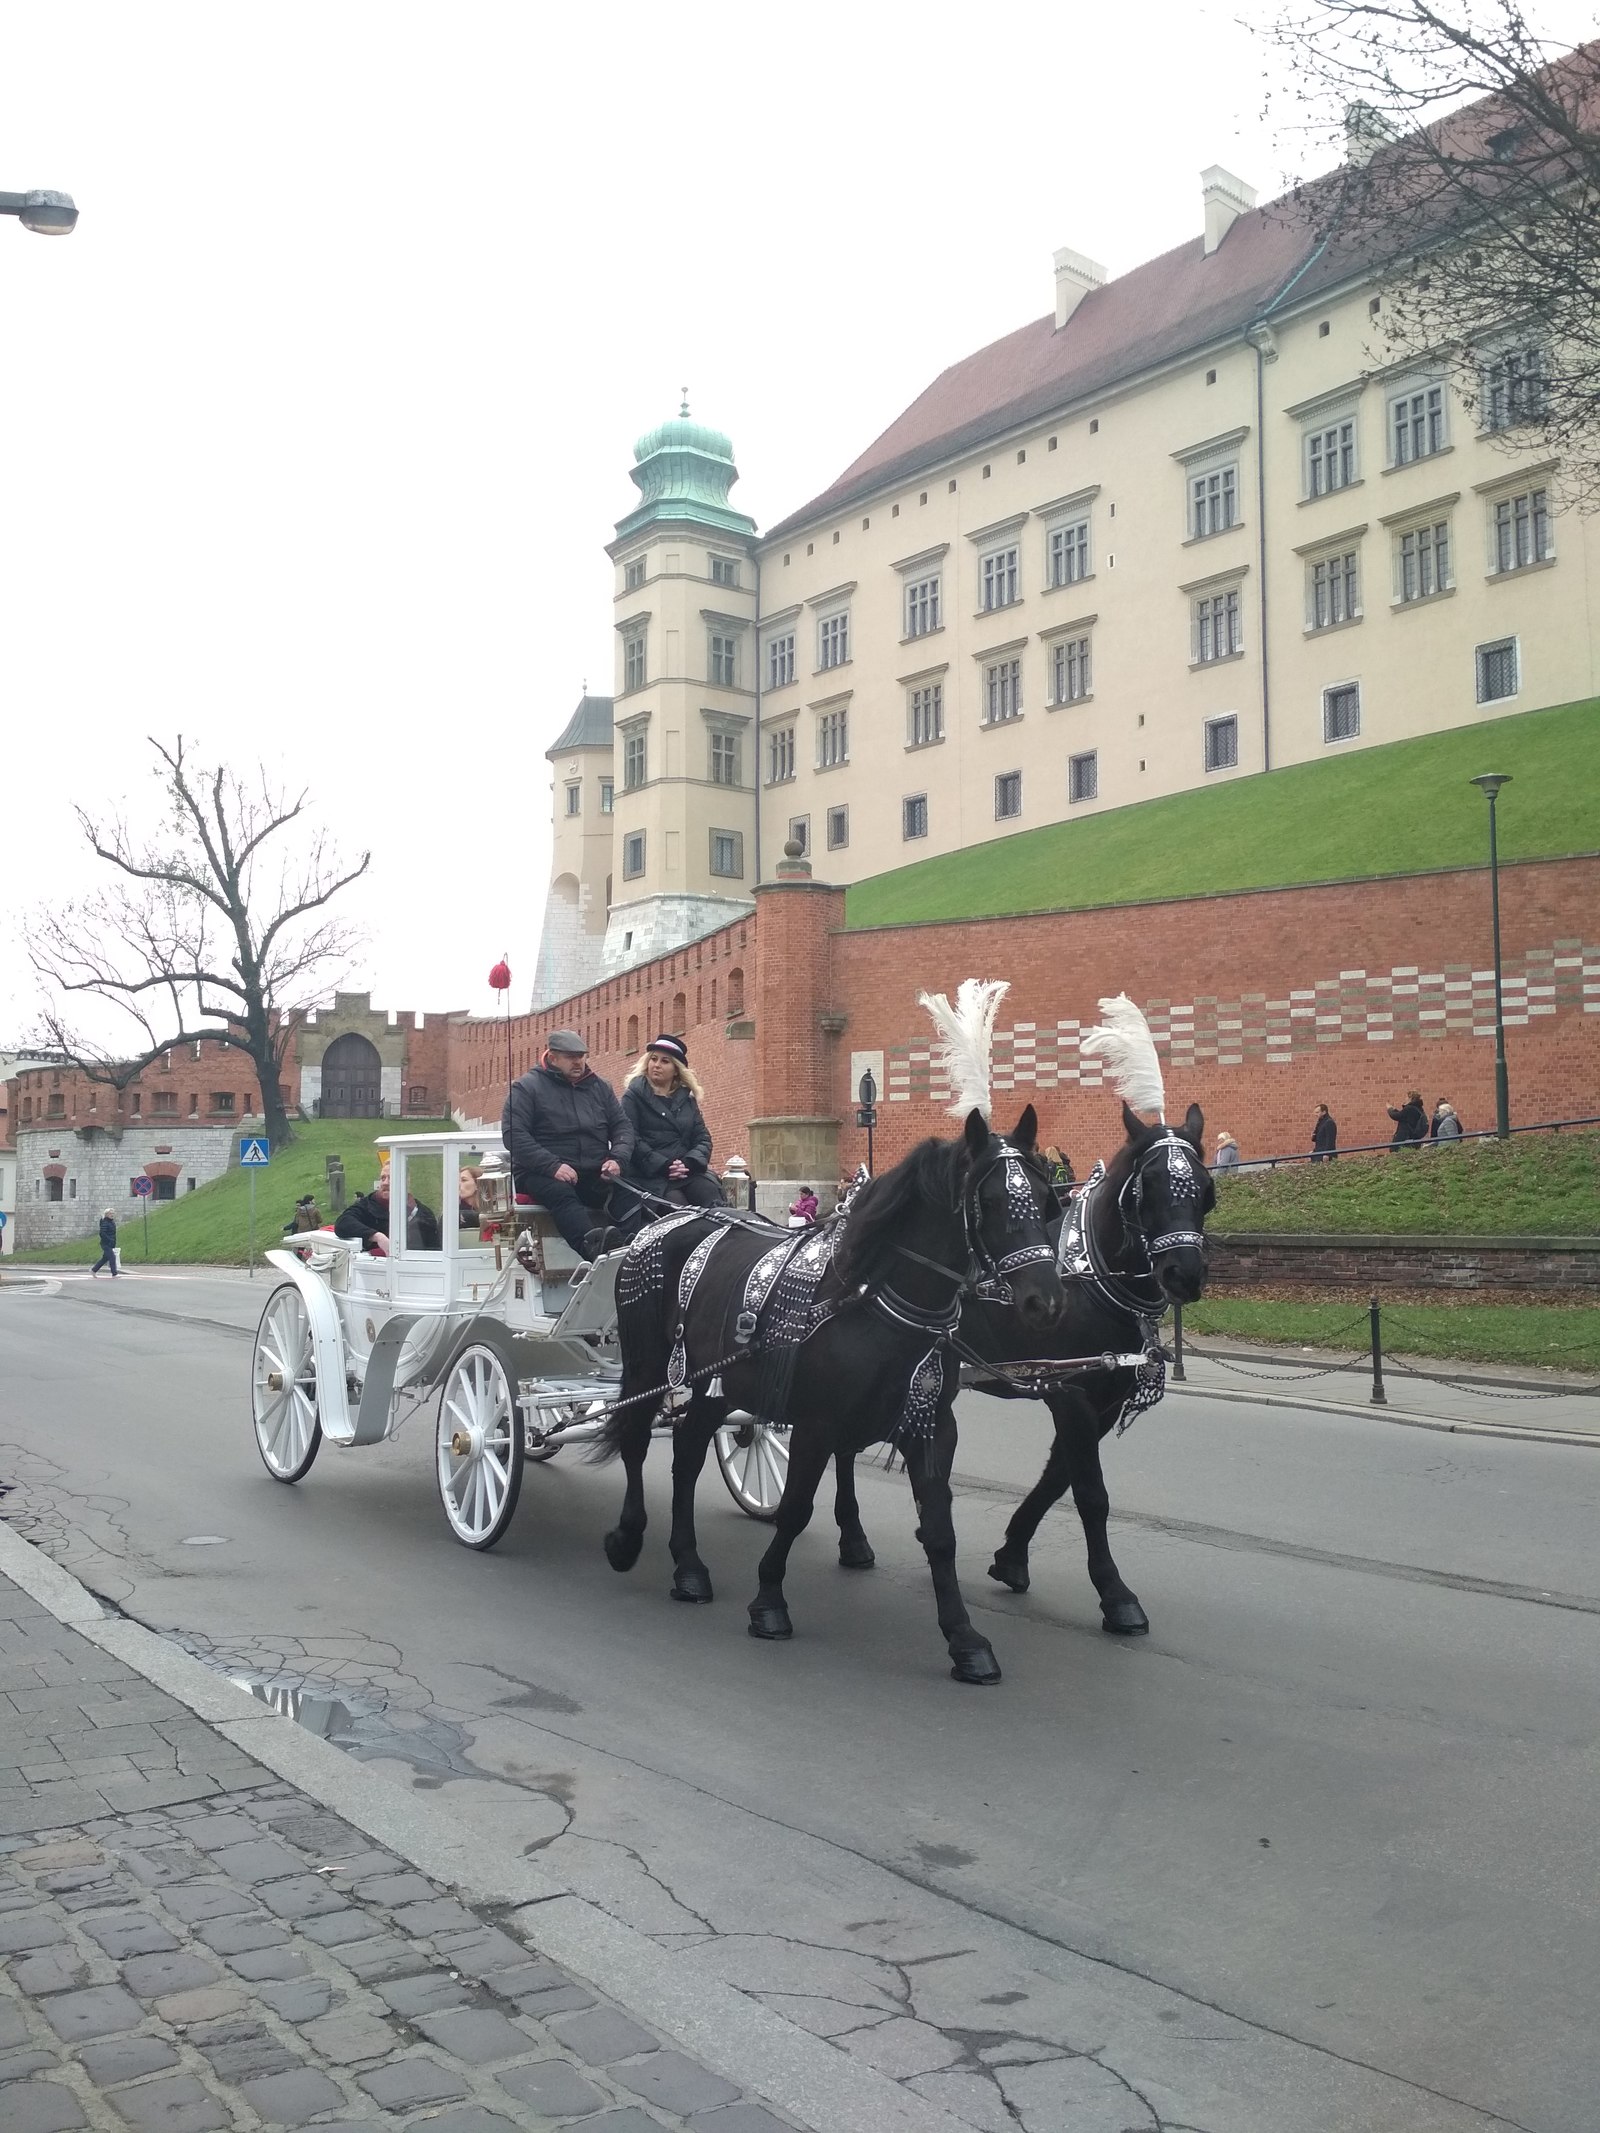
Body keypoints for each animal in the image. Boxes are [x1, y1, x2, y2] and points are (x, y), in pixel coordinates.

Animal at [597, 1109, 1058, 1672]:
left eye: (1046, 1196)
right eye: (987, 1202)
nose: (1046, 1301)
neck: (866, 1298)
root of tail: (662, 1221)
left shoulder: (931, 1426)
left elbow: (939, 1530)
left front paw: (964, 1638)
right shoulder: (818, 1423)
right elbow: (795, 1510)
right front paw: (769, 1601)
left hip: (714, 1384)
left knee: (686, 1453)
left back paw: (688, 1566)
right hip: (647, 1364)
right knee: (636, 1441)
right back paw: (628, 1539)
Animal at [827, 1109, 1211, 1638]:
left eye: (1206, 1187)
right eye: (1147, 1184)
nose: (1184, 1274)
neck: (1086, 1279)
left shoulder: (1101, 1399)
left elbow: (1057, 1478)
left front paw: (1011, 1556)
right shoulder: (1071, 1394)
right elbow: (1090, 1494)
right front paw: (1114, 1594)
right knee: (842, 1446)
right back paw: (852, 1535)